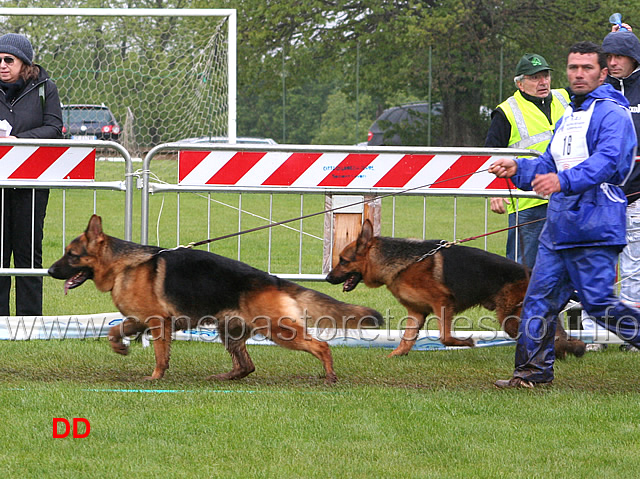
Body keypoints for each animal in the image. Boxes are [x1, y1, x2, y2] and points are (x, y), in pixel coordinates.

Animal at [48, 216, 384, 384]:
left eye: (72, 255)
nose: (50, 271)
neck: (122, 265)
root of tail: (274, 279)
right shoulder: (139, 320)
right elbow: (113, 329)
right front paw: (120, 347)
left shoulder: (158, 323)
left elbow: (159, 356)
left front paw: (155, 377)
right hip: (230, 331)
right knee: (246, 365)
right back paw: (225, 376)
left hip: (279, 331)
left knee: (321, 346)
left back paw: (329, 376)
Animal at [324, 219, 584, 358]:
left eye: (343, 260)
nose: (327, 278)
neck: (403, 262)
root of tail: (529, 271)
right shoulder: (416, 312)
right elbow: (407, 338)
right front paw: (396, 355)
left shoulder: (443, 304)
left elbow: (445, 336)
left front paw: (467, 343)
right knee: (556, 335)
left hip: (510, 318)